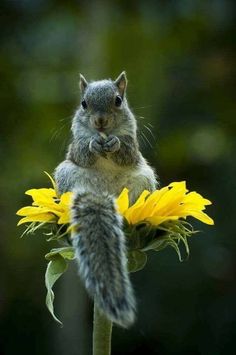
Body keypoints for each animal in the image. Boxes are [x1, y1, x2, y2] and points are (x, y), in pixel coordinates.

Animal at [54, 71, 158, 328]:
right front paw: (94, 144)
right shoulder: (77, 143)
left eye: (118, 100)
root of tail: (104, 194)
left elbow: (127, 152)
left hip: (143, 179)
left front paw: (115, 144)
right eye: (83, 104)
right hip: (67, 174)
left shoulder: (132, 141)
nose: (100, 122)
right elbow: (83, 151)